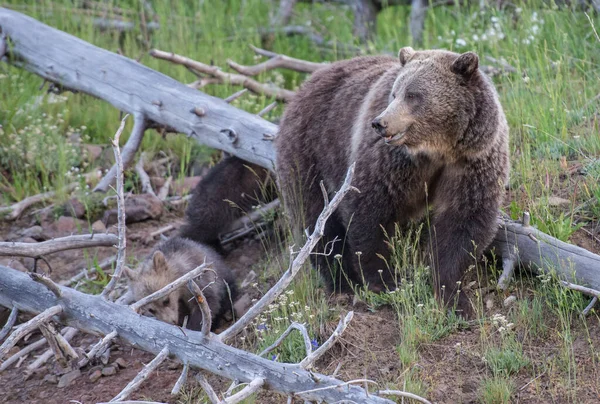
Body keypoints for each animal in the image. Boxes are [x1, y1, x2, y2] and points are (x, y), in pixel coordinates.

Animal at [274, 46, 508, 312]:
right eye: (395, 93)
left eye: (413, 95)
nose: (380, 122)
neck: (437, 149)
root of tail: (303, 87)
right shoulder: (391, 162)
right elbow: (370, 210)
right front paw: (385, 280)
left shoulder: (472, 162)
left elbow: (463, 222)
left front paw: (453, 296)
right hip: (310, 151)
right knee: (318, 222)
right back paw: (340, 282)